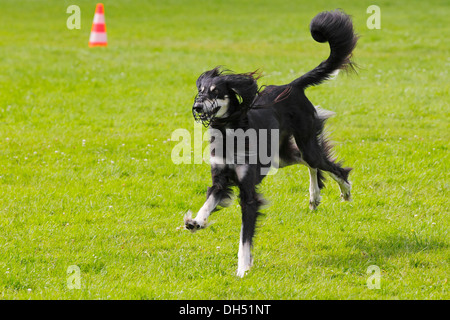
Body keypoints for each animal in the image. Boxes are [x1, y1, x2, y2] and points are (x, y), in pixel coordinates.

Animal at [184, 9, 358, 276]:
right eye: (200, 90)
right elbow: (209, 201)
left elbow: (245, 237)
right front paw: (197, 222)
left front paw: (243, 269)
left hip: (305, 142)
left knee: (325, 164)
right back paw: (314, 196)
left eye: (215, 91)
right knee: (309, 163)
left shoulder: (248, 193)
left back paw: (344, 189)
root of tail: (292, 85)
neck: (229, 133)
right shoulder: (220, 179)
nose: (197, 107)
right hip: (281, 155)